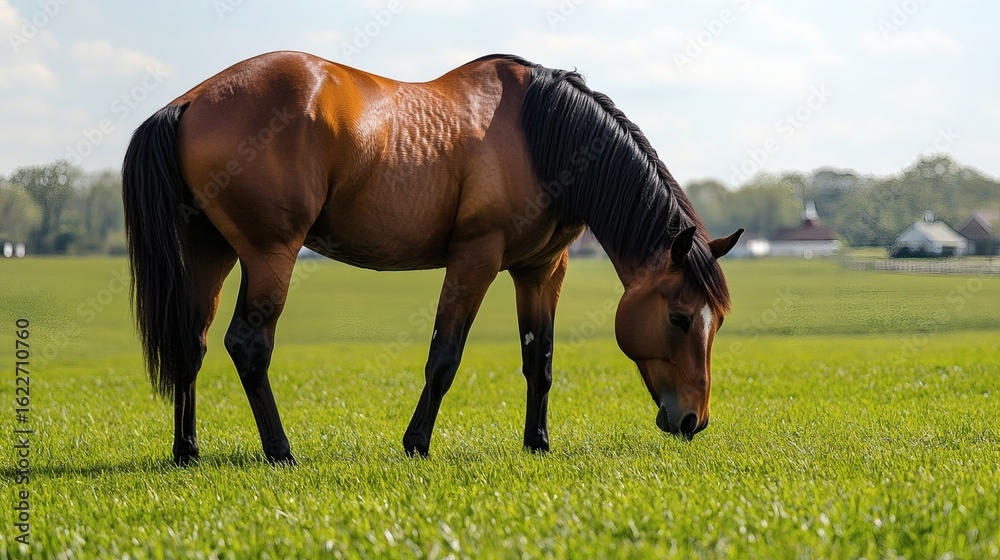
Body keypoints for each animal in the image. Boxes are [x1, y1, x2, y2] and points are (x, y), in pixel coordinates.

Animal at [122, 51, 743, 465]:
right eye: (679, 317)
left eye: (715, 322)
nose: (694, 419)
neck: (541, 136)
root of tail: (188, 102)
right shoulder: (475, 258)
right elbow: (444, 357)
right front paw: (416, 444)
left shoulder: (541, 271)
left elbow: (538, 363)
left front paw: (537, 444)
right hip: (269, 253)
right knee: (248, 346)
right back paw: (281, 451)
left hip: (211, 251)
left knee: (192, 342)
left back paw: (187, 450)